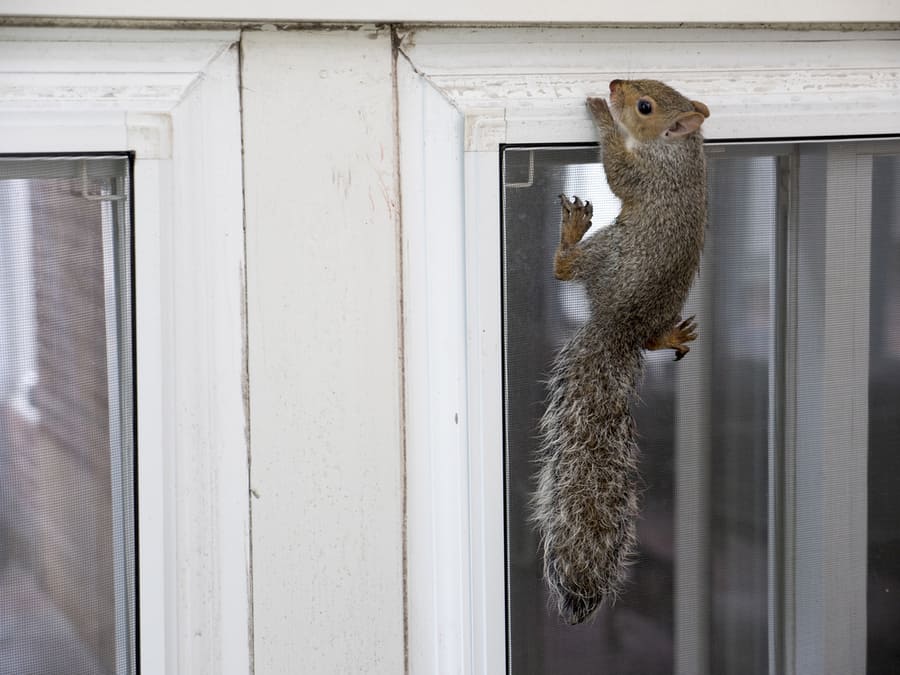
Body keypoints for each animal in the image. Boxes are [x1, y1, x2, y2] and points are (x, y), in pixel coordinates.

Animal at [532, 78, 708, 624]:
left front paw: (602, 116)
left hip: (608, 250)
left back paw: (570, 235)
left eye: (645, 106)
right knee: (652, 339)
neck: (679, 153)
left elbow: (616, 168)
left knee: (565, 270)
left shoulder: (643, 178)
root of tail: (618, 328)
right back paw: (671, 337)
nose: (613, 85)